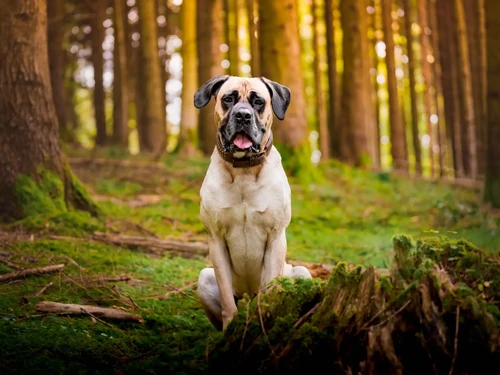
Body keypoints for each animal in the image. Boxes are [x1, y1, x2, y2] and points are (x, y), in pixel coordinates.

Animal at [193, 75, 310, 332]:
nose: (243, 116)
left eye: (258, 102)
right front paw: (230, 329)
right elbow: (227, 299)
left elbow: (270, 287)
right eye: (228, 99)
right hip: (204, 278)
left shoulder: (276, 237)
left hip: (302, 272)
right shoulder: (216, 239)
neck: (244, 171)